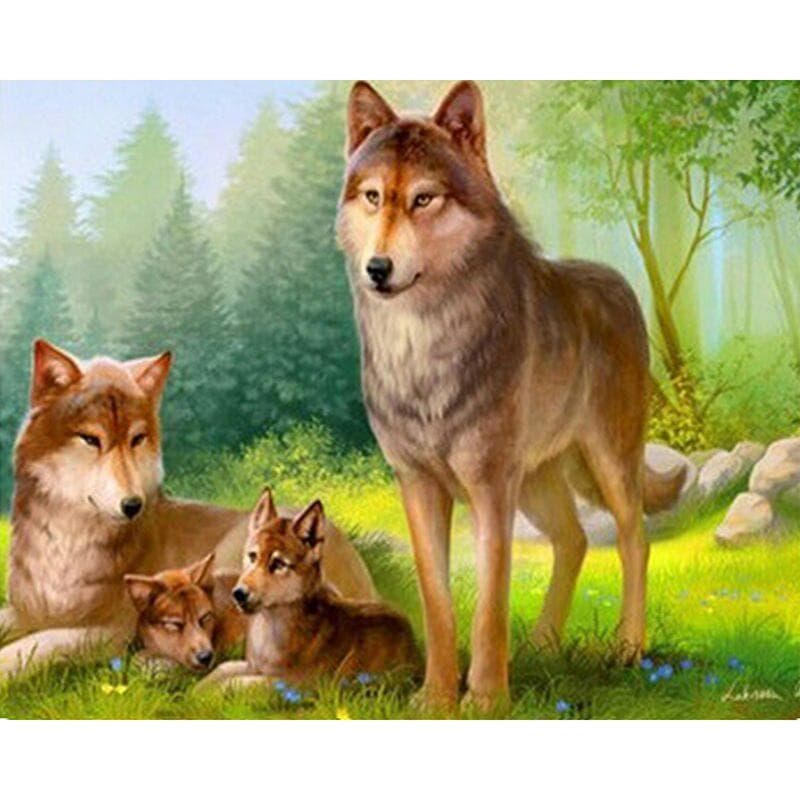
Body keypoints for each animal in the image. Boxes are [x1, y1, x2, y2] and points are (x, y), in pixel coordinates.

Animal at [0, 339, 376, 678]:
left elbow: (40, 643)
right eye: (91, 440)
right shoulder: (29, 610)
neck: (66, 541)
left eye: (137, 439)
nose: (133, 505)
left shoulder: (111, 629)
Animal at [198, 488, 419, 691]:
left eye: (278, 564)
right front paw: (198, 689)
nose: (238, 594)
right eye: (252, 556)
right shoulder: (253, 666)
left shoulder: (294, 683)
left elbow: (234, 683)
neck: (270, 625)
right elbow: (222, 669)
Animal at [336, 81, 685, 709]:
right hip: (539, 483)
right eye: (373, 196)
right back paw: (544, 644)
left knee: (633, 541)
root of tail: (619, 282)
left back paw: (627, 648)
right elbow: (439, 603)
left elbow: (490, 607)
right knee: (573, 541)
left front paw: (486, 702)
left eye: (424, 199)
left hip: (606, 465)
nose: (378, 268)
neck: (421, 347)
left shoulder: (490, 486)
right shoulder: (417, 485)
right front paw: (435, 700)